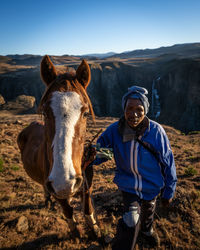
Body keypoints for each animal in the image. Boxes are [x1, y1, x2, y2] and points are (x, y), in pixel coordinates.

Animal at [16, 55, 99, 236]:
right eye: (45, 112)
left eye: (85, 113)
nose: (64, 182)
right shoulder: (57, 191)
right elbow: (68, 211)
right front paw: (76, 233)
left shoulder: (86, 183)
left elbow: (88, 207)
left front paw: (95, 229)